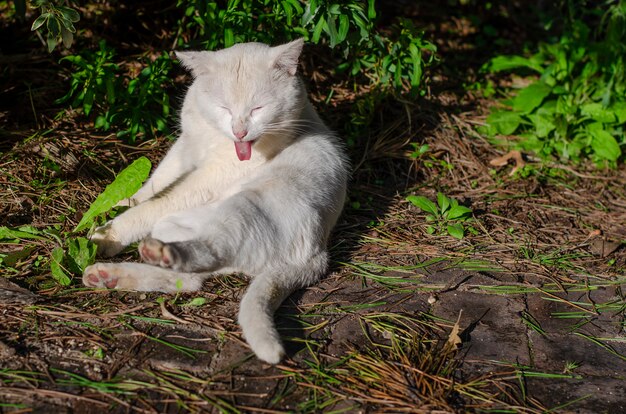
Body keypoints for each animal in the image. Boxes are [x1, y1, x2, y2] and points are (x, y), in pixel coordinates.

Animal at [80, 38, 348, 362]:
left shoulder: (211, 176)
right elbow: (157, 181)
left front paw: (109, 234)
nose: (240, 131)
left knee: (208, 252)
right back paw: (110, 275)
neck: (216, 140)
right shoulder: (185, 146)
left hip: (243, 211)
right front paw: (126, 200)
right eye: (224, 108)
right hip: (178, 227)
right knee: (189, 278)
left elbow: (159, 202)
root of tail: (318, 253)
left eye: (258, 108)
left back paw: (156, 255)